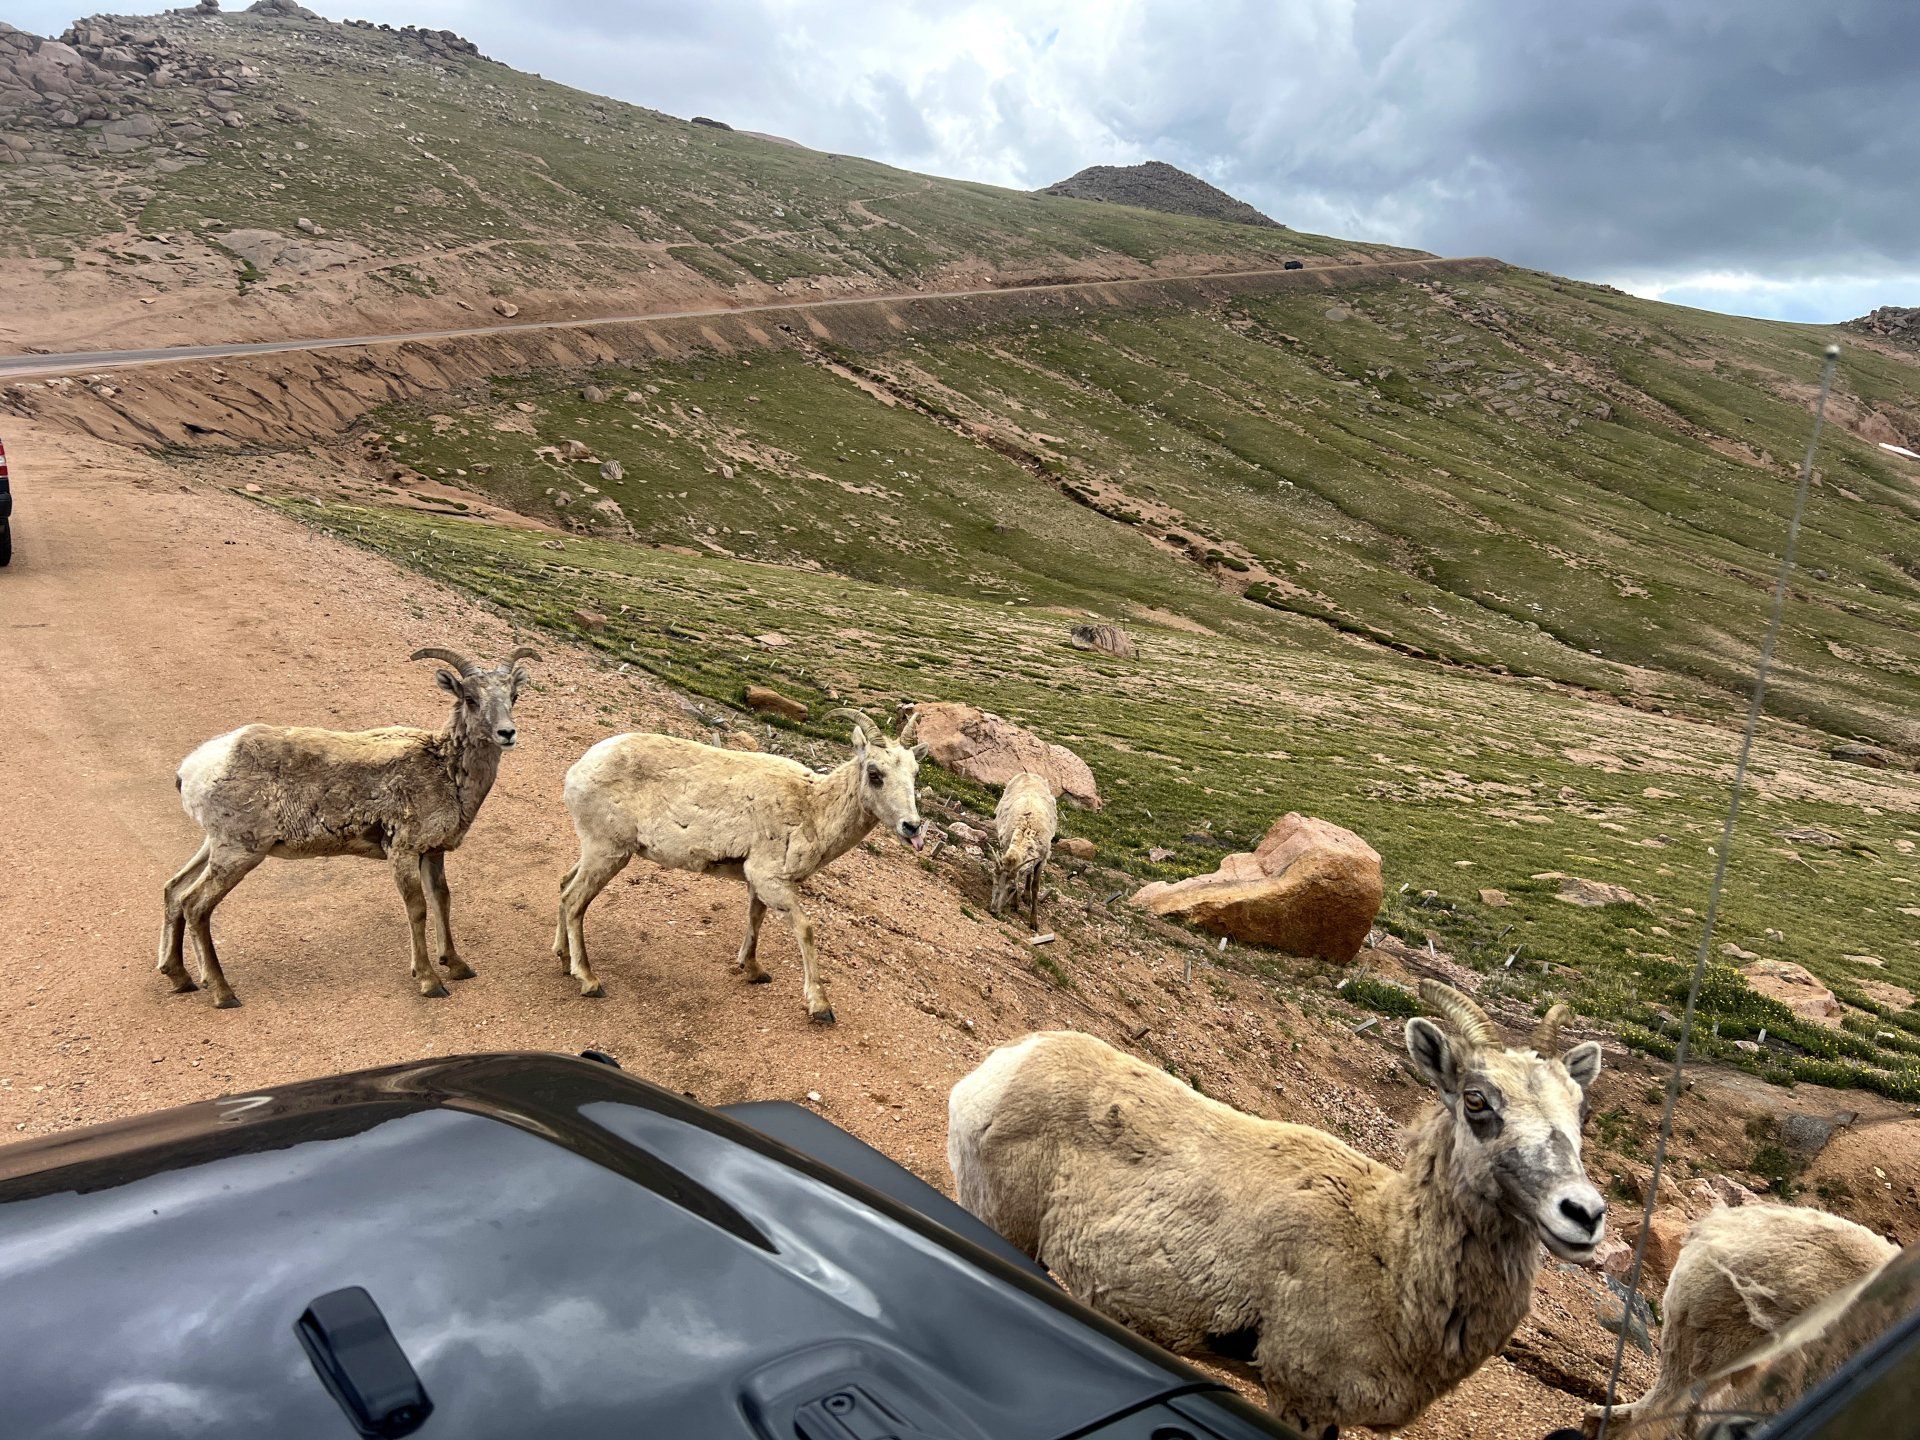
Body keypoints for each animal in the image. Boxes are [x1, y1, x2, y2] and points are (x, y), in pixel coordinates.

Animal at [150, 641, 537, 1006]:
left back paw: (180, 978)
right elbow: (418, 908)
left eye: (513, 696)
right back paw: (222, 993)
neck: (444, 770)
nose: (507, 733)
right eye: (470, 698)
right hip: (238, 851)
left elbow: (442, 899)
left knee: (174, 890)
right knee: (195, 904)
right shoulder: (402, 850)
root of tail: (190, 770)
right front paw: (430, 982)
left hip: (214, 845)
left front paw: (457, 966)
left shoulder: (433, 851)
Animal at [556, 710, 929, 1029]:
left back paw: (562, 959)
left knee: (563, 886)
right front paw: (820, 1007)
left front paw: (753, 971)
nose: (912, 827)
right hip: (608, 851)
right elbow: (805, 928)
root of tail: (577, 771)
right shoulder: (771, 879)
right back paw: (589, 980)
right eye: (875, 774)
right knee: (574, 901)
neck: (814, 809)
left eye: (914, 774)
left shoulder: (758, 881)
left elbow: (755, 918)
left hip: (599, 850)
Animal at [944, 990, 1605, 1436]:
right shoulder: (1299, 1396)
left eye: (1580, 1108)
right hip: (1000, 1221)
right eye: (1476, 1100)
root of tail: (996, 1068)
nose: (1584, 1214)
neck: (1388, 1257)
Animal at [990, 771, 1052, 929]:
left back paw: (1027, 896)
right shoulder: (1006, 846)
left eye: (1011, 889)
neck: (1026, 830)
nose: (993, 910)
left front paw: (1034, 922)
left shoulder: (1042, 859)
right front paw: (1014, 904)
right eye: (994, 880)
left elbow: (1036, 887)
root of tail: (1028, 773)